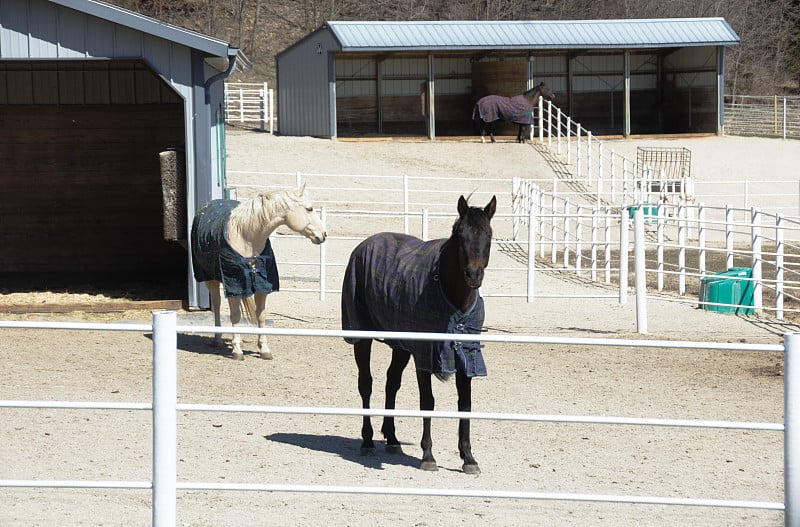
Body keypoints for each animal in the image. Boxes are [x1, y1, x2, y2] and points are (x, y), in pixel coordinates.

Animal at [192, 186, 326, 364]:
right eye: (309, 209)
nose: (323, 234)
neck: (246, 238)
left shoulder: (263, 286)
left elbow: (261, 316)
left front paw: (264, 349)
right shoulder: (234, 285)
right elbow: (235, 315)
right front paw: (237, 350)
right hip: (210, 279)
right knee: (218, 305)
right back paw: (218, 338)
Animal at [342, 194, 496, 474]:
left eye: (488, 235)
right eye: (461, 235)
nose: (473, 275)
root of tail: (364, 245)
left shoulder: (467, 355)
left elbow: (465, 405)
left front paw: (468, 458)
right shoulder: (425, 355)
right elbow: (428, 401)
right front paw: (428, 456)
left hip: (401, 346)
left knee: (391, 382)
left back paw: (392, 438)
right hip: (362, 338)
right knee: (366, 384)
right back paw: (367, 440)